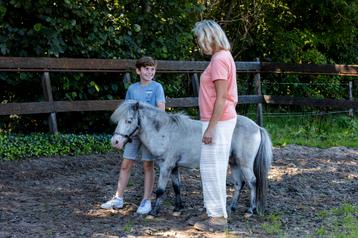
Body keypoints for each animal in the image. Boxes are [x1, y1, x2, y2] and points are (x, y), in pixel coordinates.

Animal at [110, 100, 272, 218]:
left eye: (129, 120)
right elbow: (177, 187)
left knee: (252, 182)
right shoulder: (174, 167)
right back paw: (231, 207)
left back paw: (250, 210)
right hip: (234, 163)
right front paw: (178, 208)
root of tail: (257, 127)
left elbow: (160, 190)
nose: (115, 142)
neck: (165, 132)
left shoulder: (166, 166)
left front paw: (154, 212)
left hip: (244, 164)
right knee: (239, 183)